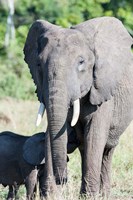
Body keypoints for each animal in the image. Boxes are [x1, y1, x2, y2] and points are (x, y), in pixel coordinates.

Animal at [23, 17, 133, 198]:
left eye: (81, 62)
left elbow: (94, 136)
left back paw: (103, 195)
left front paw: (89, 197)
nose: (63, 180)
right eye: (38, 64)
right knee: (85, 148)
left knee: (106, 150)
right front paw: (51, 196)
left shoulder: (102, 90)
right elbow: (51, 134)